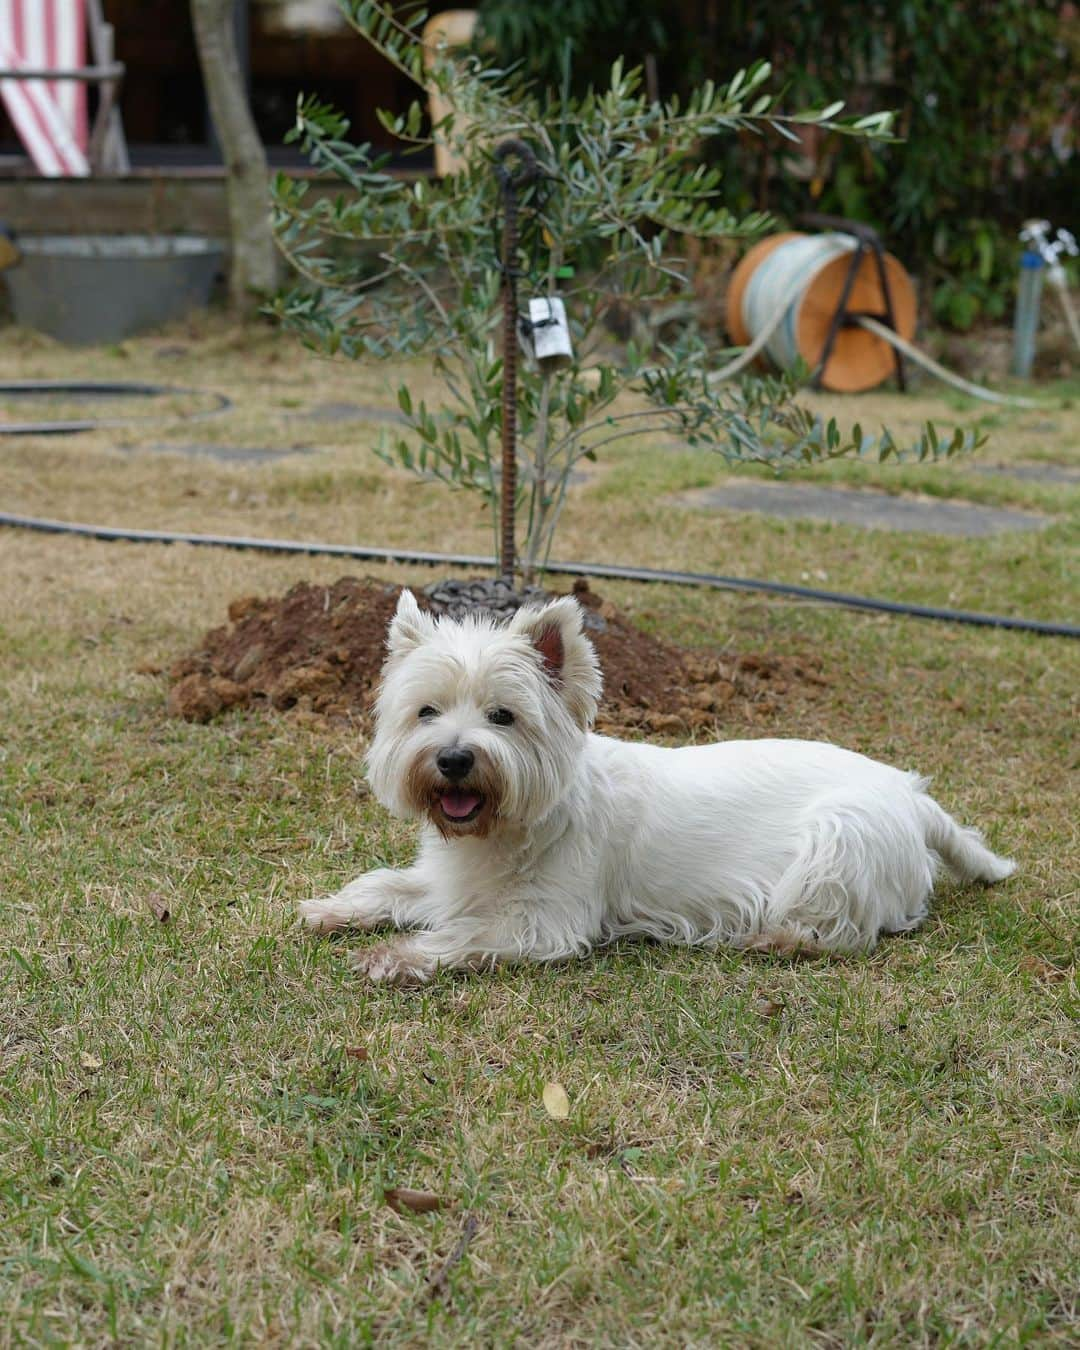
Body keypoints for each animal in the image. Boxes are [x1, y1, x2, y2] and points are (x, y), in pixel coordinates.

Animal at [299, 588, 1015, 982]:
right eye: (426, 712)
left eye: (503, 716)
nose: (452, 759)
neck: (507, 827)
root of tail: (913, 796)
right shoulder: (450, 878)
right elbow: (388, 885)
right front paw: (329, 910)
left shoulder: (547, 920)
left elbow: (464, 934)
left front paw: (394, 957)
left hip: (838, 841)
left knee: (845, 930)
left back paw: (774, 939)